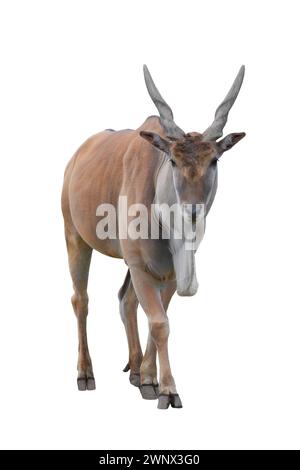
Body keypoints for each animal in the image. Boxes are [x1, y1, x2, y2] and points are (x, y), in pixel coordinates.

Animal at [61, 64, 246, 410]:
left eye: (214, 160)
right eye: (173, 160)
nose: (192, 211)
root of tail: (76, 157)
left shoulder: (167, 272)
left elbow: (158, 317)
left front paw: (149, 379)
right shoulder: (141, 266)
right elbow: (160, 323)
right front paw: (169, 390)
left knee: (126, 300)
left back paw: (135, 370)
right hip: (74, 237)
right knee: (81, 300)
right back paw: (85, 373)